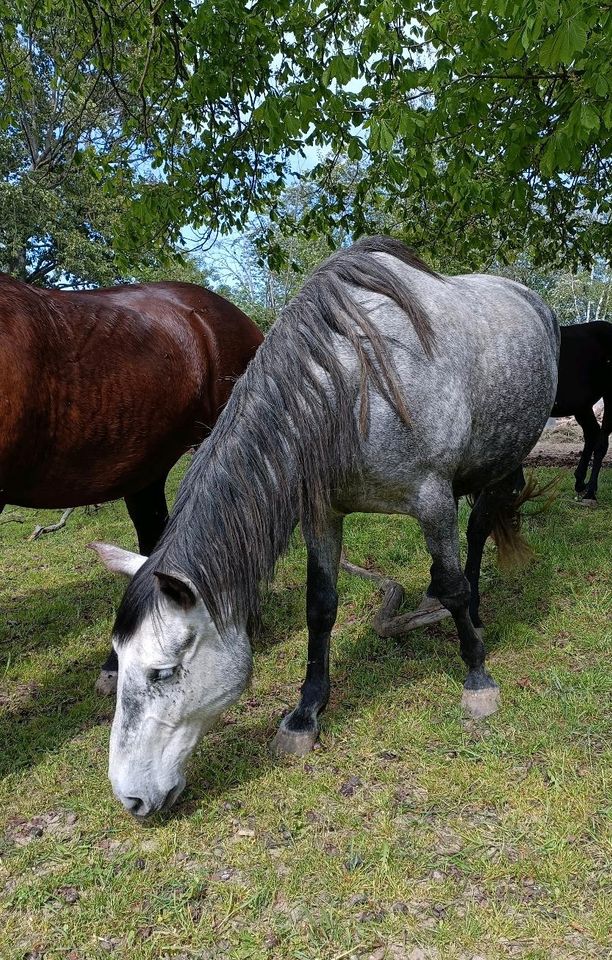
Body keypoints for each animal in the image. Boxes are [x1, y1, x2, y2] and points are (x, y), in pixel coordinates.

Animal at [92, 236, 560, 812]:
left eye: (163, 671)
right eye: (118, 662)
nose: (130, 798)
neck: (354, 388)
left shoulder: (431, 499)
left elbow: (453, 587)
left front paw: (477, 676)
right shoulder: (322, 515)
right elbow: (320, 609)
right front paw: (305, 714)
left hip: (500, 464)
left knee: (473, 538)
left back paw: (472, 610)